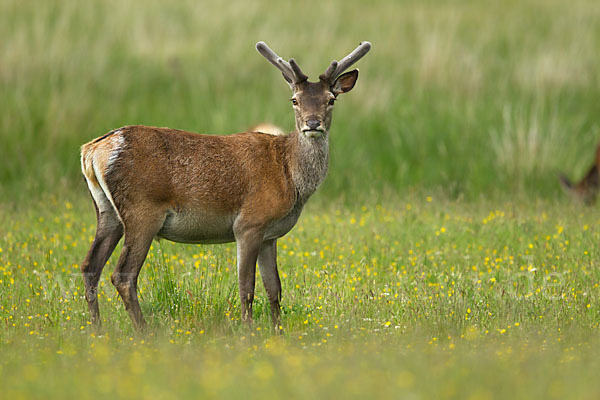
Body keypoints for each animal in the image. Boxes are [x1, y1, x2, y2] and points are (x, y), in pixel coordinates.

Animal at [79, 40, 370, 332]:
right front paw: (248, 332)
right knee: (123, 274)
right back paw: (144, 332)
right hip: (142, 210)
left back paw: (97, 329)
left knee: (90, 266)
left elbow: (274, 289)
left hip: (107, 211)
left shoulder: (270, 235)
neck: (289, 176)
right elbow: (247, 287)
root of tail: (92, 150)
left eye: (330, 99)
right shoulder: (249, 223)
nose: (312, 123)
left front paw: (277, 332)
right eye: (295, 100)